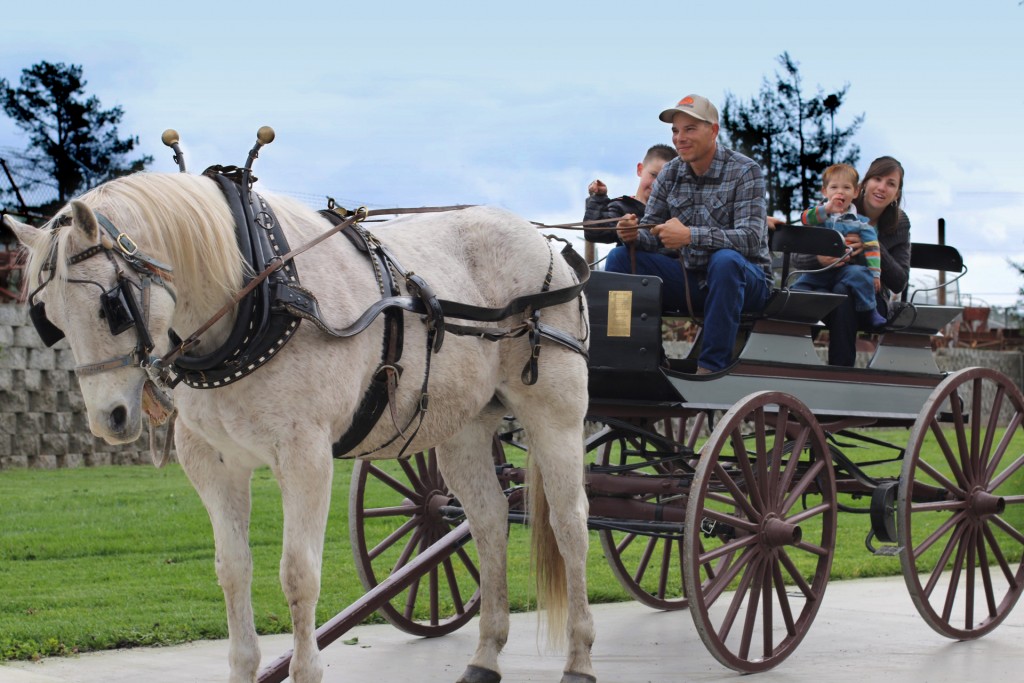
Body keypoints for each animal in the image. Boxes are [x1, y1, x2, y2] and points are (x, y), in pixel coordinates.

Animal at [8, 172, 598, 683]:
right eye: (50, 318)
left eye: (111, 307)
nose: (109, 419)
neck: (256, 297)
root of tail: (547, 243)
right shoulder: (211, 464)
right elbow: (232, 569)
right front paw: (244, 669)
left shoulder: (304, 455)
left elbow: (298, 573)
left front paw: (305, 669)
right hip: (463, 429)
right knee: (489, 521)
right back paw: (485, 656)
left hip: (555, 413)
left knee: (570, 524)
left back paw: (579, 658)